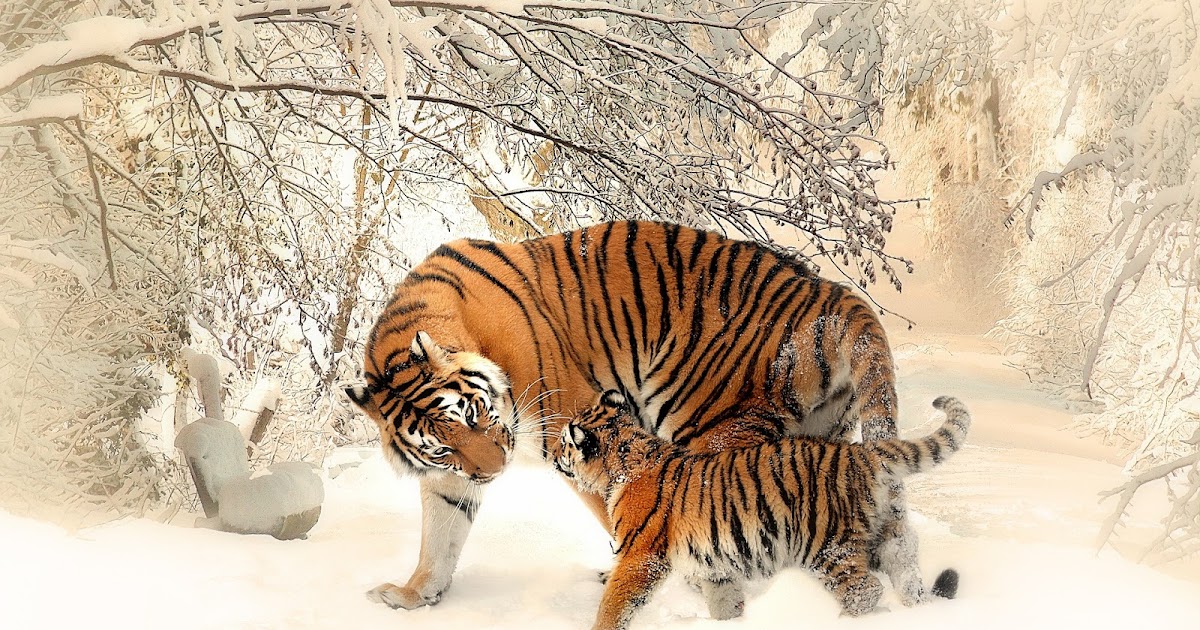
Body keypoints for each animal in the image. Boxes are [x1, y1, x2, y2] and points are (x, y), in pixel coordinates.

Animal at [345, 220, 906, 613]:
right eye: (442, 446)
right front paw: (414, 595)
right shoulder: (450, 476)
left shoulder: (572, 424)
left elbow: (616, 509)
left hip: (709, 423)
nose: (494, 472)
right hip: (821, 436)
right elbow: (439, 536)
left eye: (476, 414)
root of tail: (832, 294)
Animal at [555, 391, 970, 630]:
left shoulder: (640, 556)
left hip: (827, 546)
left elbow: (615, 603)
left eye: (564, 442)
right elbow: (724, 601)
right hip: (887, 536)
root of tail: (862, 452)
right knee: (907, 574)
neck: (626, 457)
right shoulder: (715, 564)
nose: (555, 456)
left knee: (864, 590)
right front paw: (731, 622)